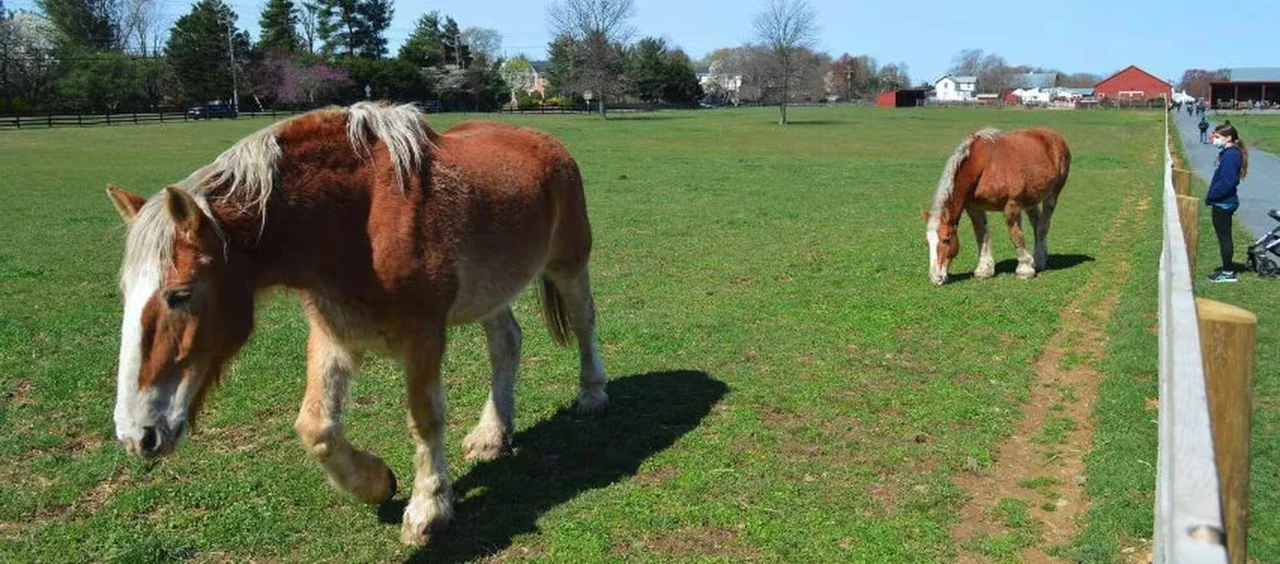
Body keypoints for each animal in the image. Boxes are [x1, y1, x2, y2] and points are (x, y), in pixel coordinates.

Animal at [104, 102, 608, 545]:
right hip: (492, 290)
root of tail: (545, 141)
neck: (355, 221)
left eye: (180, 294)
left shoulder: (423, 337)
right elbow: (316, 427)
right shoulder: (333, 335)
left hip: (568, 264)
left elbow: (425, 418)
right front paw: (376, 482)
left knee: (584, 322)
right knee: (506, 344)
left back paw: (591, 394)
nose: (137, 435)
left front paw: (428, 509)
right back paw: (491, 434)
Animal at [923, 127, 1071, 286]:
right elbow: (981, 234)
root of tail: (1055, 136)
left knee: (1044, 226)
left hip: (1052, 195)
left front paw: (1024, 269)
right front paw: (984, 270)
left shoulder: (1012, 206)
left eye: (946, 239)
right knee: (1037, 224)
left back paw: (1038, 260)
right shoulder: (974, 207)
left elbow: (1016, 236)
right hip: (1031, 199)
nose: (936, 278)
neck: (984, 166)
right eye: (928, 242)